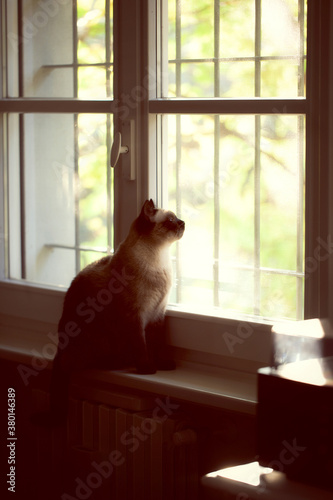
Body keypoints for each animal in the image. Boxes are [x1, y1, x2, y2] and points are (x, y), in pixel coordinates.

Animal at [48, 199, 184, 422]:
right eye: (171, 220)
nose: (183, 222)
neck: (160, 261)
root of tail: (60, 349)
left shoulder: (157, 315)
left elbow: (155, 344)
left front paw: (161, 364)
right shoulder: (136, 317)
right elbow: (142, 347)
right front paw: (147, 369)